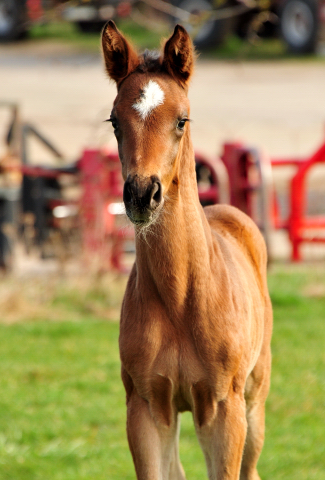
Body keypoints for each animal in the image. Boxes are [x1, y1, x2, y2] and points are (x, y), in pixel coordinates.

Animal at [101, 22, 270, 480]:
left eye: (181, 120)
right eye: (114, 121)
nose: (142, 195)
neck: (180, 299)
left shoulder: (224, 409)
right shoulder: (145, 405)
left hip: (255, 398)